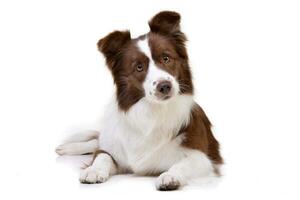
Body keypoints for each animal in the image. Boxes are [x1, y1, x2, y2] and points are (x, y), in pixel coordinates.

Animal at [55, 10, 223, 191]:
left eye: (166, 58)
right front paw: (94, 170)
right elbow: (102, 155)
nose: (165, 86)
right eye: (139, 67)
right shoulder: (114, 151)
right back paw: (67, 147)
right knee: (96, 142)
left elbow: (183, 164)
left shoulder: (203, 158)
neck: (153, 110)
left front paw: (170, 176)